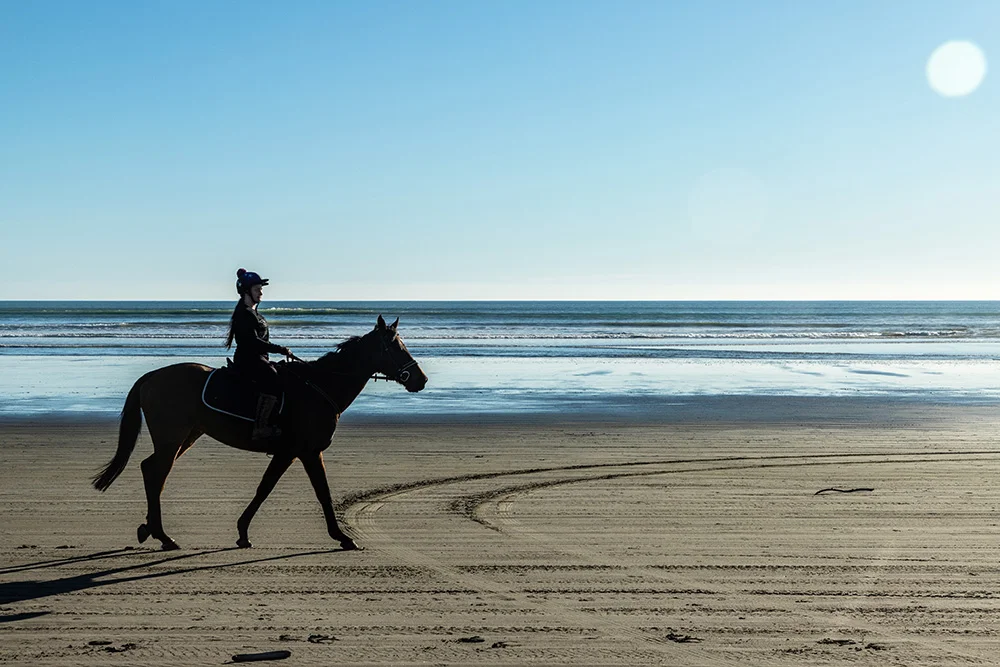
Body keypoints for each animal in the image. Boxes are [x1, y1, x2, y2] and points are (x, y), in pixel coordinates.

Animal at [92, 315, 427, 552]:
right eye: (396, 346)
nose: (420, 379)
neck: (319, 388)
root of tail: (151, 376)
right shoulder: (306, 451)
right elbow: (321, 492)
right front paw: (342, 536)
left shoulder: (288, 453)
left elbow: (264, 488)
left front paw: (242, 531)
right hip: (173, 437)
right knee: (155, 472)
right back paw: (162, 535)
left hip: (186, 436)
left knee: (152, 471)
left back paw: (152, 530)